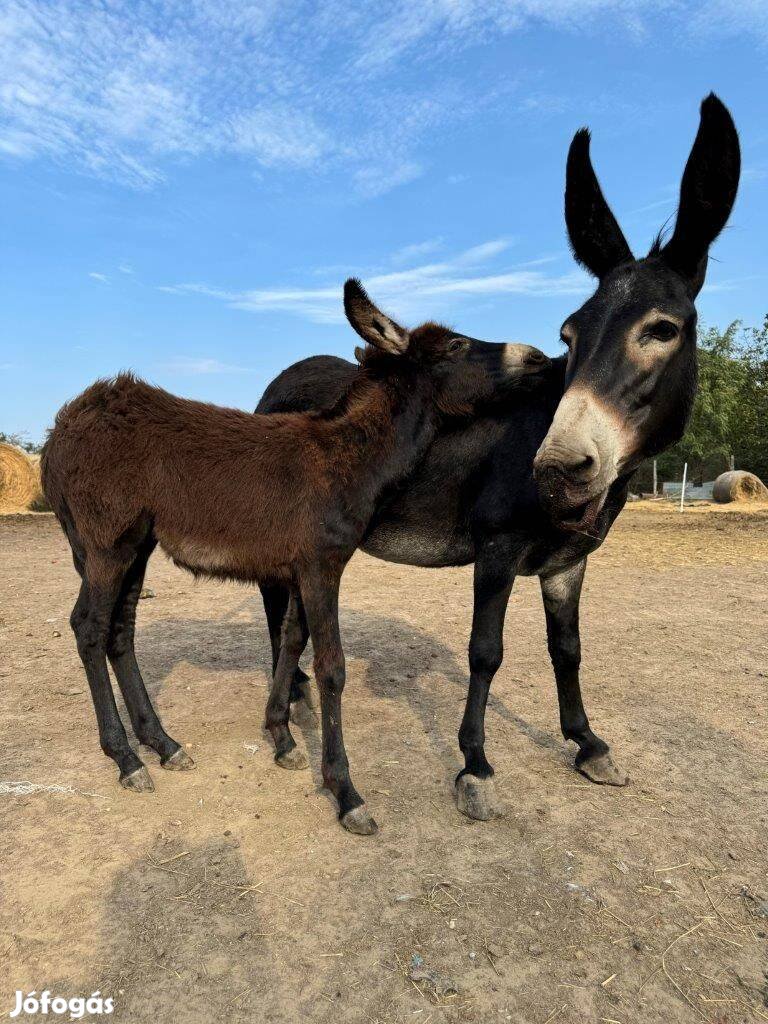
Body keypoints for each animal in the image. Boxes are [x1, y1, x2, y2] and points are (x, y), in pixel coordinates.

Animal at [41, 278, 548, 831]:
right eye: (457, 344)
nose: (538, 357)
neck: (345, 456)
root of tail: (64, 424)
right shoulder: (322, 565)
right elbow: (330, 667)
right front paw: (345, 791)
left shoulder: (303, 568)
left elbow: (291, 640)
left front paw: (281, 737)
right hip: (106, 545)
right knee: (89, 627)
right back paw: (126, 758)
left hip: (136, 545)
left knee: (120, 631)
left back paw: (164, 745)